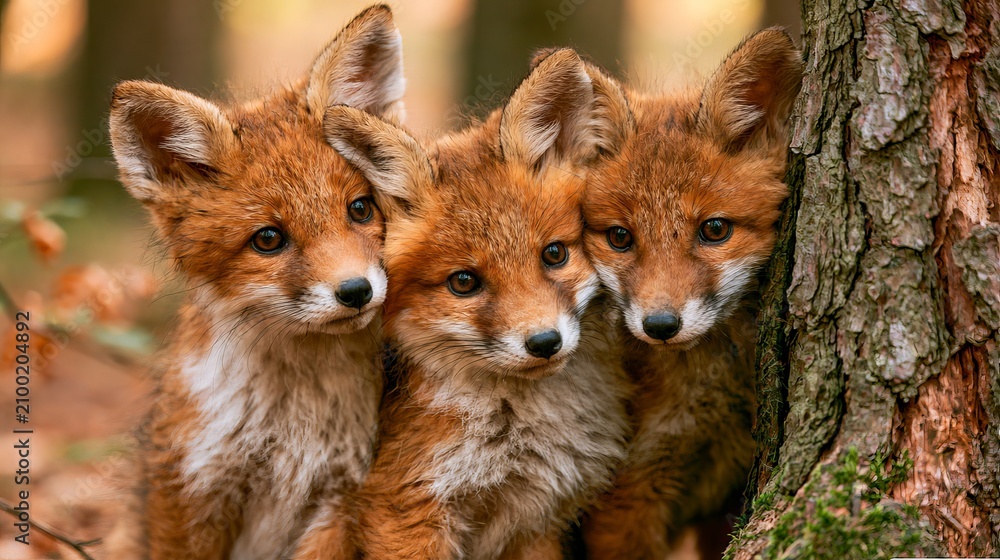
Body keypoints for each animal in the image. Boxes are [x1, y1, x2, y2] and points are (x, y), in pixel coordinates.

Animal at [106, 6, 405, 559]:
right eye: (268, 239)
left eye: (360, 209)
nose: (356, 291)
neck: (291, 427)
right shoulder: (193, 488)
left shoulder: (341, 495)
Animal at [291, 48, 633, 560]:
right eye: (464, 282)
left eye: (555, 254)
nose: (544, 342)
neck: (515, 439)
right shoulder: (407, 506)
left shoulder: (536, 521)